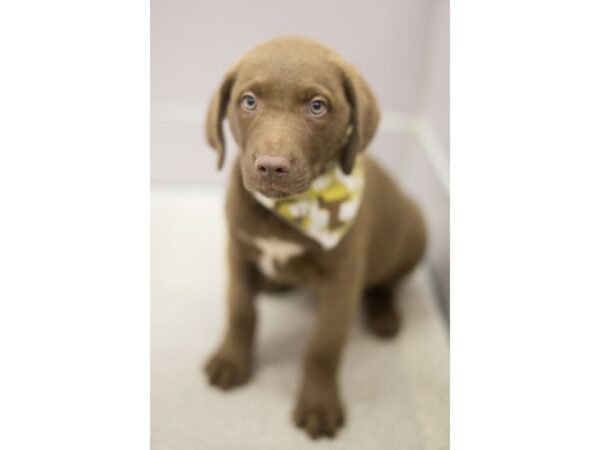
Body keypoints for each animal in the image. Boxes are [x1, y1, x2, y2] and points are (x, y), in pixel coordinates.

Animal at [203, 37, 426, 438]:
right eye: (248, 101)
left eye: (317, 106)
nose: (271, 166)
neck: (289, 210)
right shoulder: (238, 250)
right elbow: (241, 310)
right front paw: (230, 361)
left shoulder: (342, 281)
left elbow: (323, 346)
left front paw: (319, 405)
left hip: (415, 229)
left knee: (389, 281)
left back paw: (384, 314)